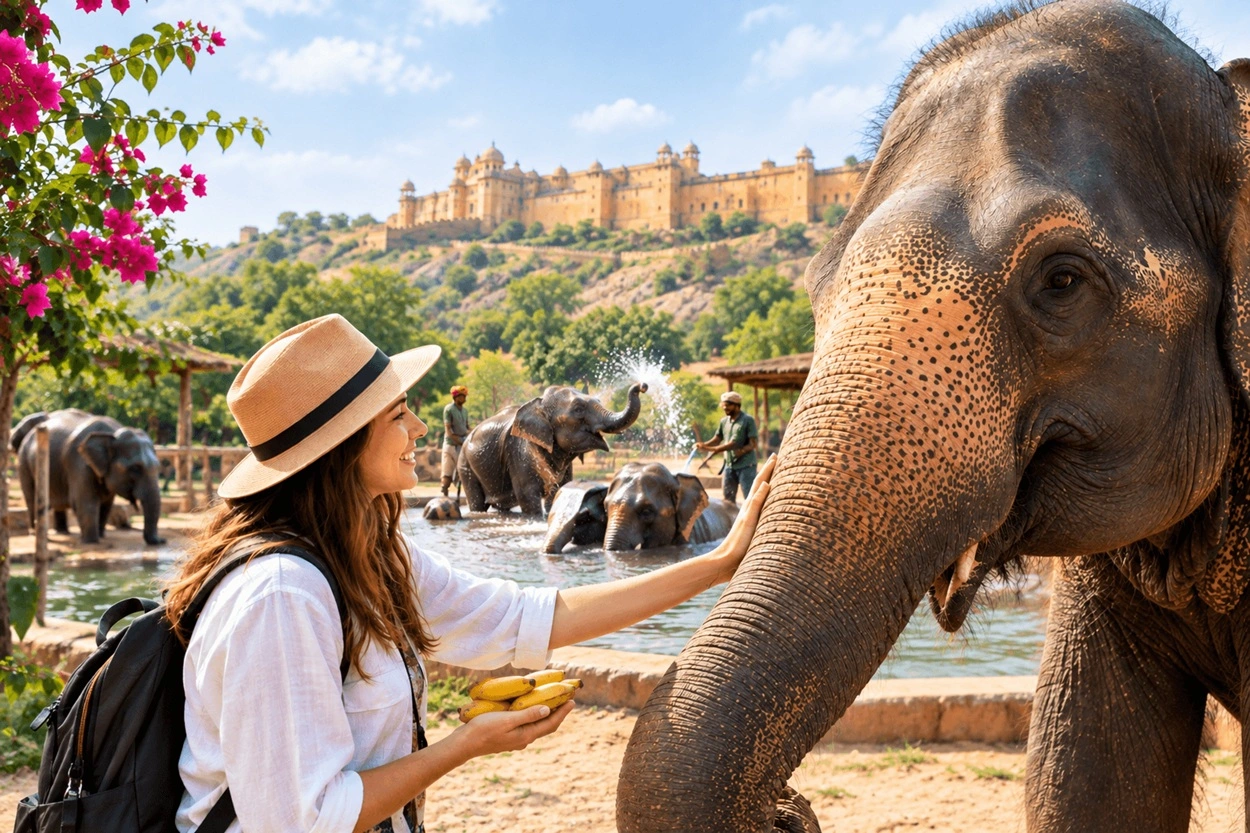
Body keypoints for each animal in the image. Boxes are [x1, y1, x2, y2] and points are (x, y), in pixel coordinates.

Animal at [12, 409, 166, 546]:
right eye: (135, 468)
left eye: (158, 467)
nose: (162, 541)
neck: (112, 434)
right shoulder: (79, 463)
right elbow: (84, 501)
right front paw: (91, 541)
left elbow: (106, 503)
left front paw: (101, 535)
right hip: (24, 463)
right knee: (32, 498)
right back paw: (38, 534)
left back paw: (62, 532)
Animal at [458, 383, 646, 516]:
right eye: (578, 409)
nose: (642, 386)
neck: (539, 404)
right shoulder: (519, 451)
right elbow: (528, 496)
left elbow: (559, 492)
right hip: (465, 464)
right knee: (476, 501)